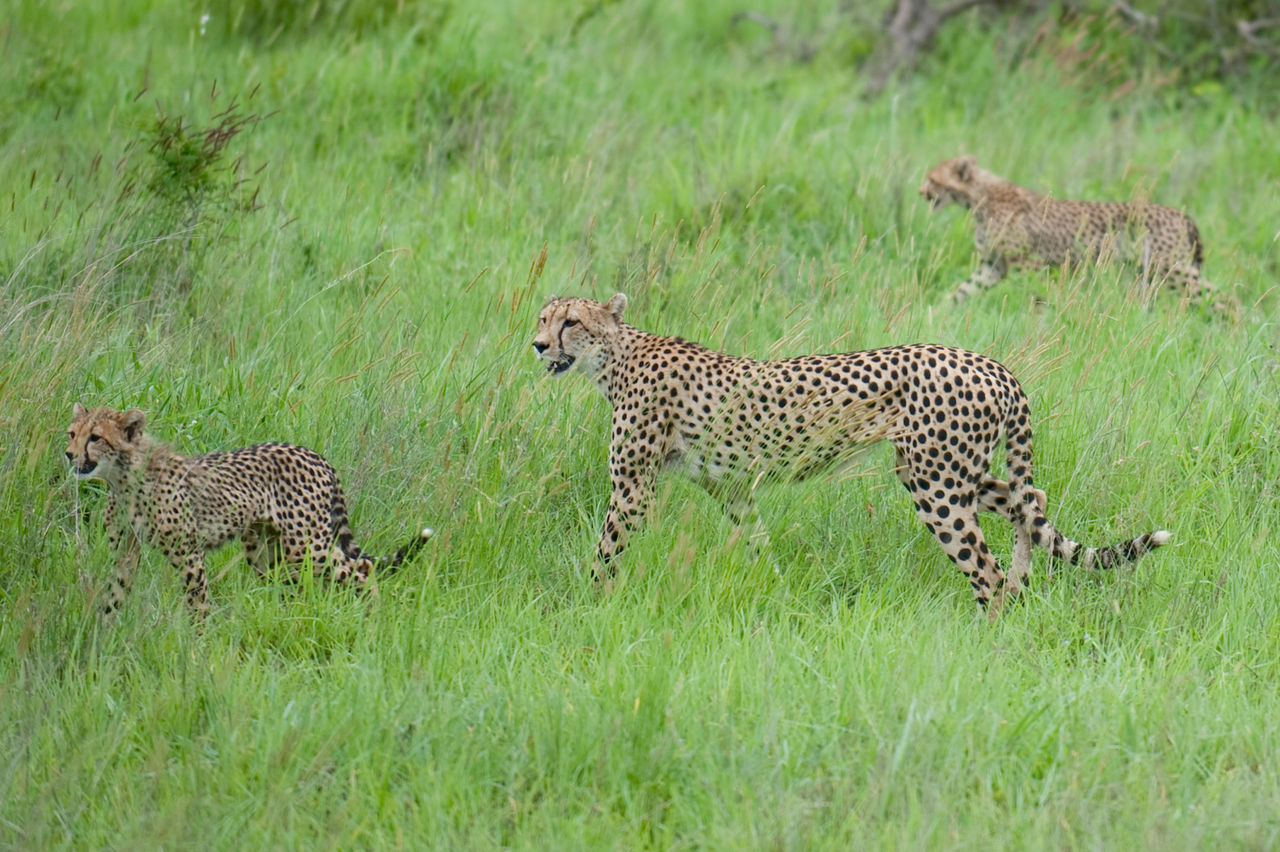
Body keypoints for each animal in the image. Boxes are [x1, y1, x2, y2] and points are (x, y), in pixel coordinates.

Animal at [64, 401, 432, 614]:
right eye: (72, 434)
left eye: (95, 437)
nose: (68, 454)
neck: (124, 478)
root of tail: (312, 452)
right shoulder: (125, 552)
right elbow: (113, 597)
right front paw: (100, 643)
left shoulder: (188, 553)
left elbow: (198, 606)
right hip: (267, 553)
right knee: (298, 586)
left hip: (306, 547)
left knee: (361, 568)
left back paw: (373, 618)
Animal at [527, 295, 1172, 614]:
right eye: (543, 318)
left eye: (571, 322)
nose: (536, 344)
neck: (615, 356)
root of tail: (993, 363)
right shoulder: (733, 489)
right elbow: (758, 544)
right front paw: (778, 595)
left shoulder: (633, 490)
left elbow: (605, 554)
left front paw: (584, 610)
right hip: (947, 470)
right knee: (1027, 499)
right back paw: (1022, 581)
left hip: (937, 482)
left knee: (985, 564)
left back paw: (989, 633)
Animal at [921, 154, 1208, 303]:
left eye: (932, 179)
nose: (921, 192)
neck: (979, 197)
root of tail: (1183, 215)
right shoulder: (993, 266)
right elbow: (962, 290)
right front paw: (937, 311)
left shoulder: (1028, 263)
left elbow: (1035, 295)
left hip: (1173, 269)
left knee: (1216, 297)